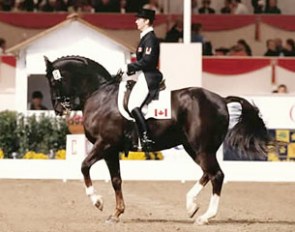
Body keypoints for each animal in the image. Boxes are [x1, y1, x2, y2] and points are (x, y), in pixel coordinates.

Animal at [44, 54, 270, 225]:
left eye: (53, 81)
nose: (58, 109)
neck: (101, 95)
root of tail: (221, 99)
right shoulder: (111, 150)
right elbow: (116, 180)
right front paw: (116, 214)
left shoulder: (105, 143)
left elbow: (84, 166)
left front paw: (97, 201)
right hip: (194, 147)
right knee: (208, 173)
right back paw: (191, 205)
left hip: (202, 148)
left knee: (217, 175)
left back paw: (205, 217)